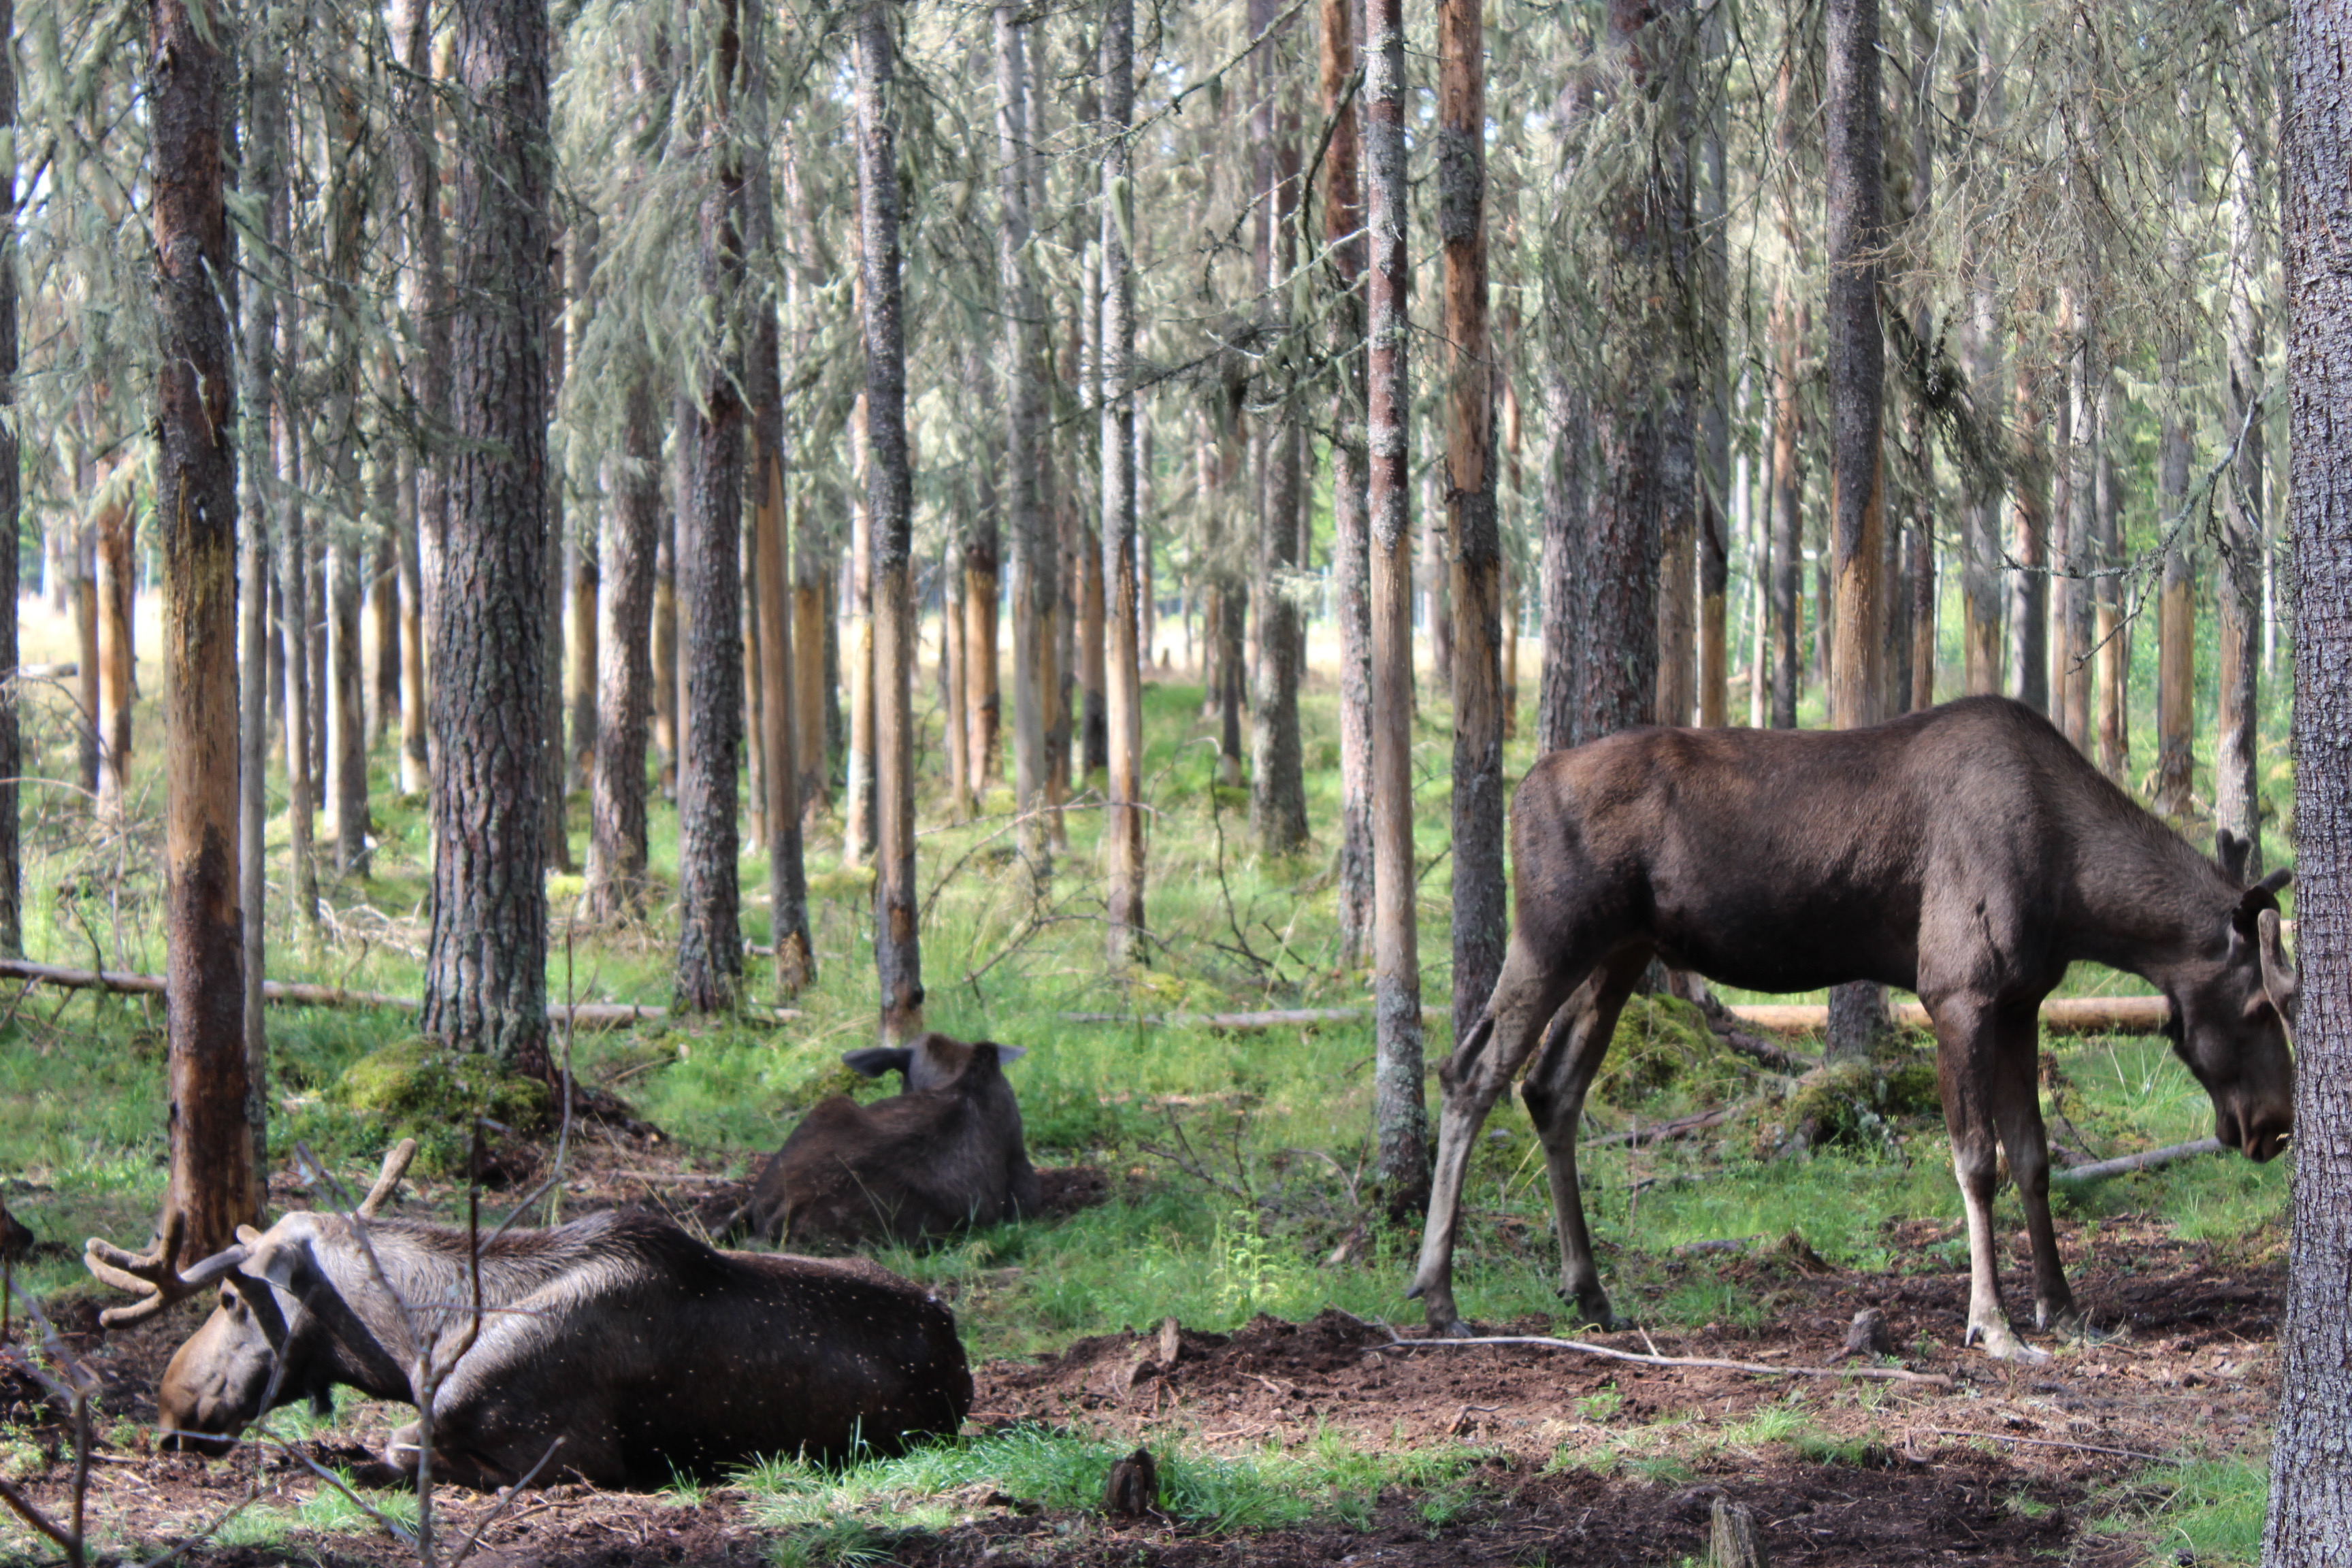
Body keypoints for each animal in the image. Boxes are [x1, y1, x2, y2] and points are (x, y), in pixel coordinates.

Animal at [82, 1147, 964, 1494]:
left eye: (232, 1300)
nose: (168, 1414)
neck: (419, 1343)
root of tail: (959, 1353)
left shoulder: (571, 1456)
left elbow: (400, 1449)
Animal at [1411, 700, 2296, 1363]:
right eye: (2263, 1006)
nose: (2275, 1127)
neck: (2079, 896)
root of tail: (1525, 789)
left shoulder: (2021, 1000)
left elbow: (2035, 1158)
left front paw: (2064, 1305)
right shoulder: (1957, 989)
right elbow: (1977, 1162)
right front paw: (1994, 1323)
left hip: (1622, 950)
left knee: (1550, 1088)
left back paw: (1589, 1291)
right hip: (1555, 931)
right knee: (1470, 1074)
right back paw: (1439, 1295)